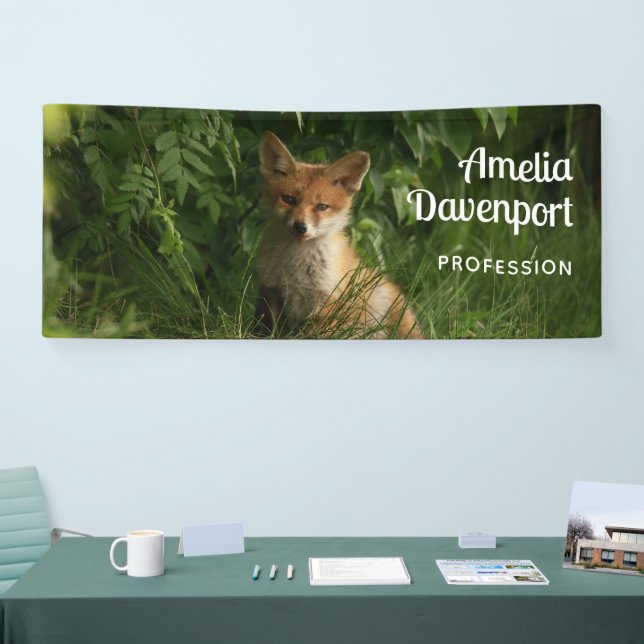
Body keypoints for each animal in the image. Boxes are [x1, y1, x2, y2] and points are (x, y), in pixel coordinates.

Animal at [254, 131, 422, 339]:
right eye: (288, 199)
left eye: (322, 207)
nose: (300, 227)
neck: (295, 267)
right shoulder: (271, 290)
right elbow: (271, 329)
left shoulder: (328, 301)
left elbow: (316, 335)